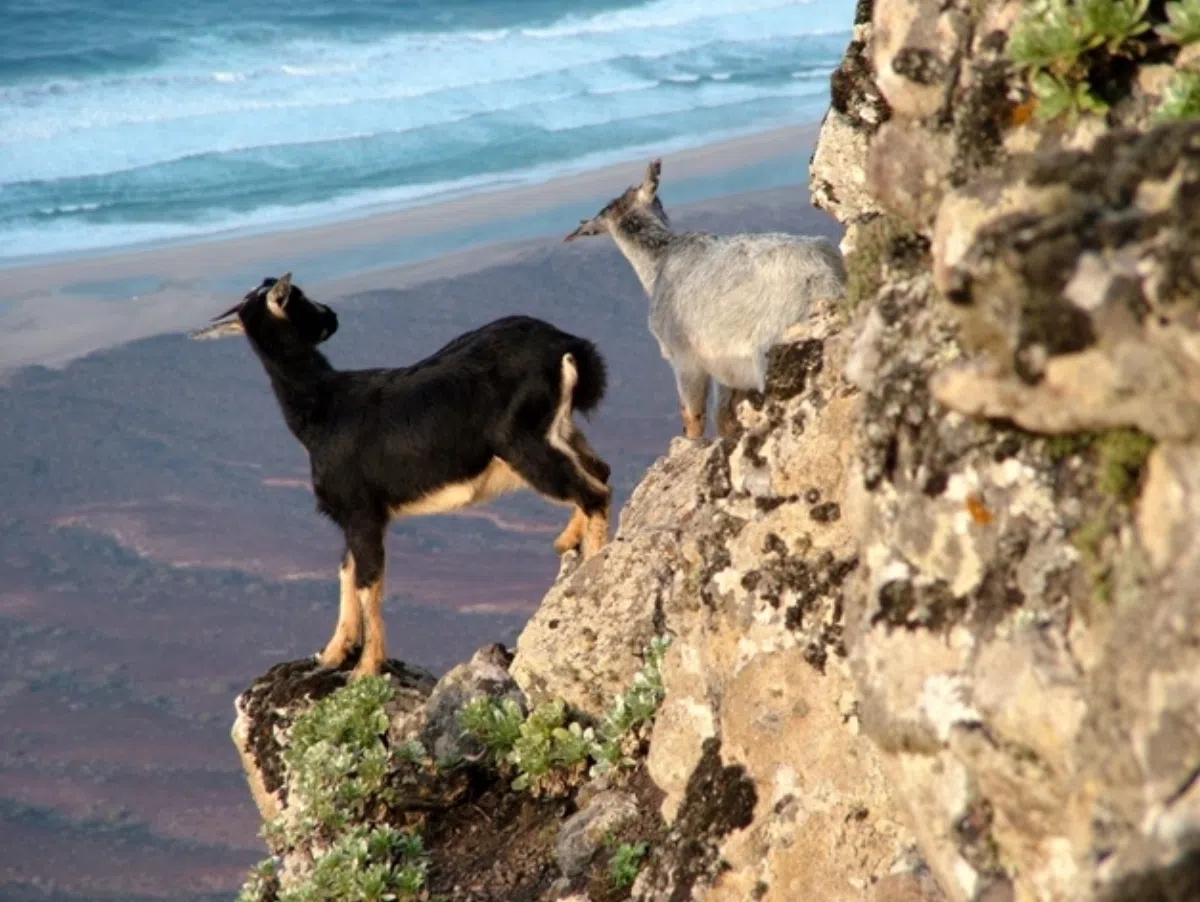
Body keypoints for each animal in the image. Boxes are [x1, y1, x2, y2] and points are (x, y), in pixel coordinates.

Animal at [191, 274, 612, 678]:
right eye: (301, 298)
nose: (331, 315)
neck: (324, 407)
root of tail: (566, 345)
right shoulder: (353, 518)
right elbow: (347, 573)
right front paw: (332, 655)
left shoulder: (363, 514)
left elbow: (368, 582)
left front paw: (366, 669)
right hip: (556, 432)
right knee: (598, 473)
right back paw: (567, 541)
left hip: (523, 443)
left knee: (592, 491)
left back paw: (590, 572)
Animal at [565, 159, 847, 439]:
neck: (660, 260)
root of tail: (825, 277)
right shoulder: (725, 367)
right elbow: (724, 418)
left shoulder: (685, 359)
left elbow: (693, 417)